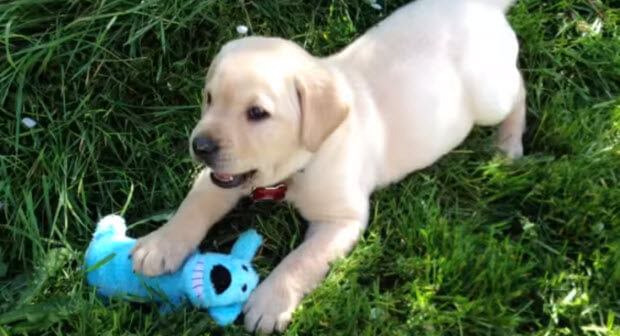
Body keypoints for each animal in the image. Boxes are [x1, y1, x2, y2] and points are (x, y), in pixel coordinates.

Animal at [130, 0, 524, 330]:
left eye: (257, 113)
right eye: (209, 98)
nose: (200, 146)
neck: (299, 165)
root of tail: (484, 7)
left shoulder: (342, 220)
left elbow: (302, 260)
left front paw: (271, 303)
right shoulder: (223, 177)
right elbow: (195, 204)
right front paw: (160, 245)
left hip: (490, 98)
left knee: (519, 90)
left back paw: (507, 146)